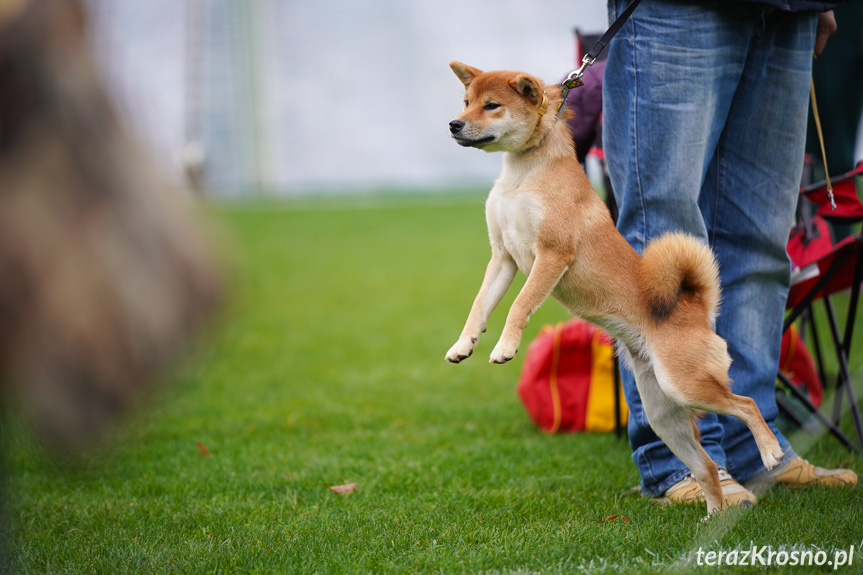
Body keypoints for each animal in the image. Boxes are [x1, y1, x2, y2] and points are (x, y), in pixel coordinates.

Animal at [442, 62, 788, 516]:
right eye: (466, 102)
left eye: (492, 105)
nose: (454, 124)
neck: (523, 176)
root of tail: (697, 308)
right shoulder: (503, 258)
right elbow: (479, 306)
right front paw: (463, 344)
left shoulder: (551, 256)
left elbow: (519, 305)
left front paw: (505, 346)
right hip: (663, 413)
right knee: (707, 466)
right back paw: (712, 516)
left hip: (686, 385)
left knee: (746, 405)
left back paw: (769, 451)